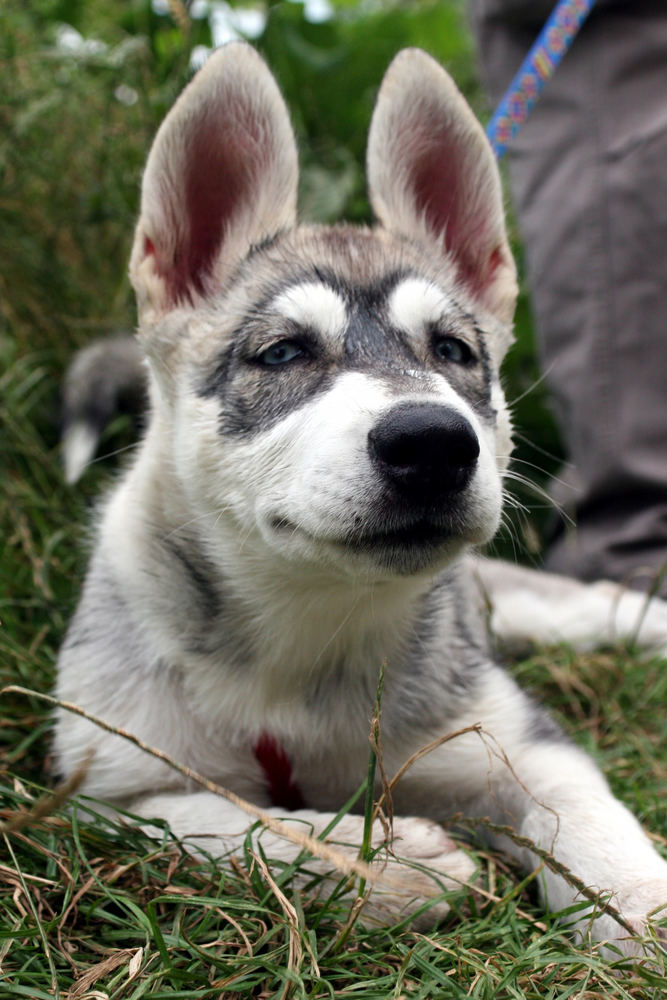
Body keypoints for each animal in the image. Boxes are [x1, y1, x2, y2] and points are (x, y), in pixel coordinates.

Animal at [54, 45, 667, 952]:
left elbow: (587, 816)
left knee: (597, 605)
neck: (303, 632)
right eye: (281, 352)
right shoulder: (101, 796)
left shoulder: (522, 742)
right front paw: (380, 863)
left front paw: (638, 902)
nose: (433, 445)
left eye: (453, 351)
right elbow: (224, 824)